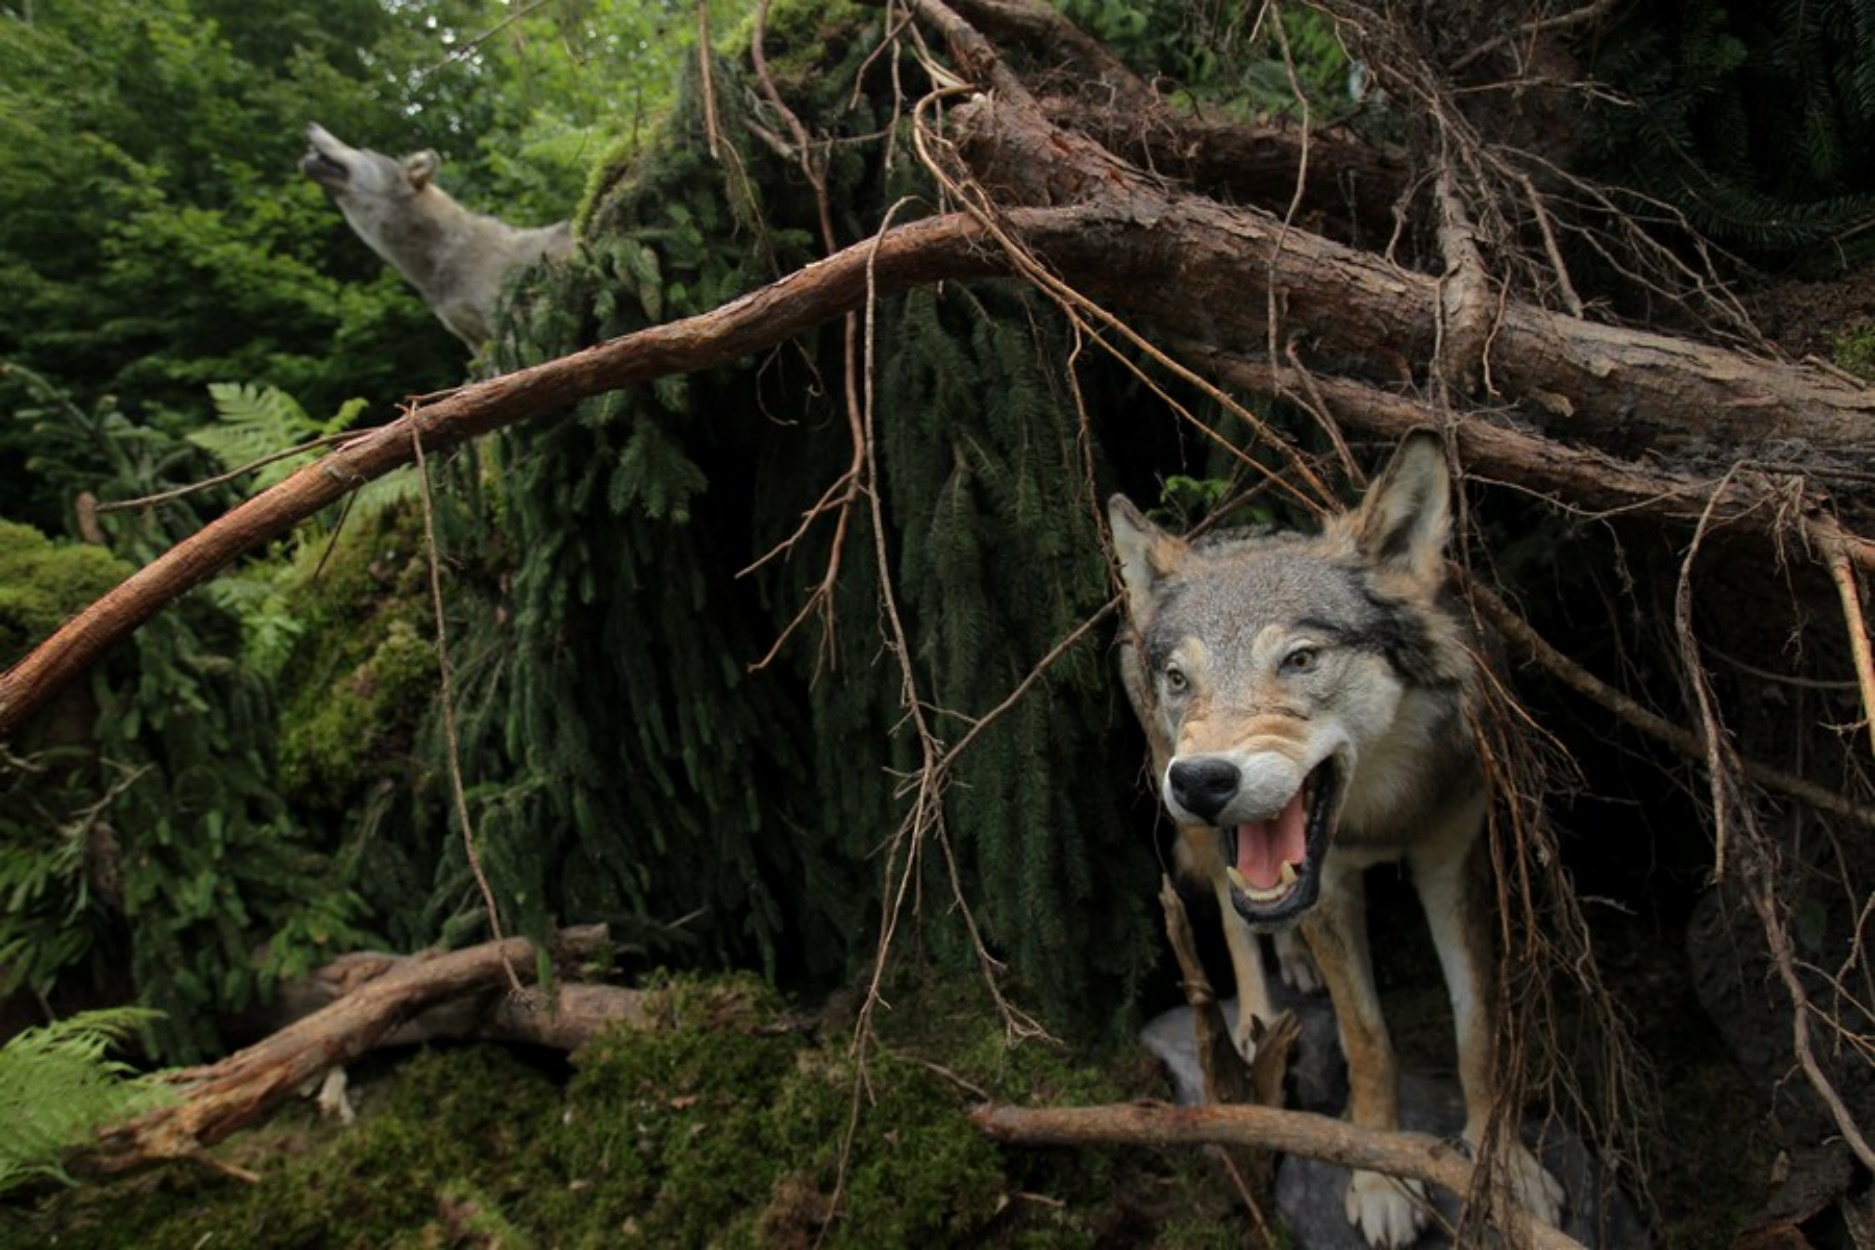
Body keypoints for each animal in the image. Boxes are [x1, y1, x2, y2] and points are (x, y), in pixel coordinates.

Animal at [1110, 434, 1567, 1244]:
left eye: (1299, 659)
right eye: (1178, 677)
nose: (1200, 780)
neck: (1385, 811)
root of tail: (1225, 531)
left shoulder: (1453, 861)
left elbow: (1479, 1034)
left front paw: (1502, 1169)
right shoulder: (1330, 883)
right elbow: (1368, 1040)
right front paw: (1381, 1175)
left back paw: (1293, 960)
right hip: (1202, 838)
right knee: (1233, 916)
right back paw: (1257, 1018)